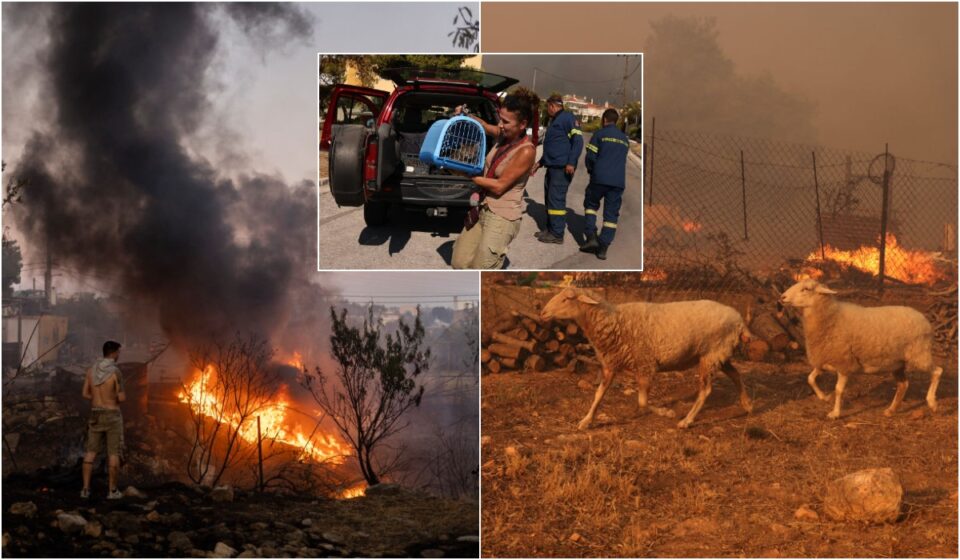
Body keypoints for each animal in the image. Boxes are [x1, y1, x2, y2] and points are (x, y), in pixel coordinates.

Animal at [540, 286, 752, 430]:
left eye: (567, 299)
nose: (542, 313)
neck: (614, 321)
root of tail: (740, 321)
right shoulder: (611, 364)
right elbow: (598, 395)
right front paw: (586, 420)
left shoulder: (645, 365)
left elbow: (642, 402)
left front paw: (667, 412)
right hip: (719, 354)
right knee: (736, 375)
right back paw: (747, 405)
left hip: (711, 355)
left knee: (706, 390)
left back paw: (686, 421)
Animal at [780, 278, 936, 418]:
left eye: (805, 289)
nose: (782, 297)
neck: (832, 317)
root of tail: (923, 318)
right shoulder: (824, 361)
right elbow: (810, 379)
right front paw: (824, 397)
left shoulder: (844, 363)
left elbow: (838, 390)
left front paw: (835, 413)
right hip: (897, 363)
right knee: (904, 384)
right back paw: (891, 410)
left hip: (919, 353)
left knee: (936, 371)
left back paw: (932, 402)